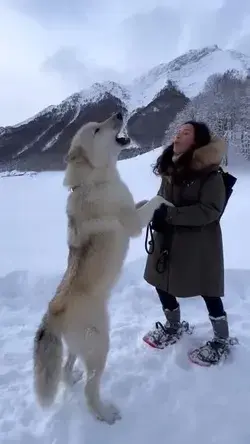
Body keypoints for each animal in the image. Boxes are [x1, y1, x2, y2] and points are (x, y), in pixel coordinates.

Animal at [32, 111, 174, 424]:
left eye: (101, 121)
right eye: (97, 129)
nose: (119, 112)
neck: (95, 181)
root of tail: (52, 313)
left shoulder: (134, 210)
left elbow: (142, 202)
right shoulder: (133, 224)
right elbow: (153, 202)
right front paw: (165, 199)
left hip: (80, 348)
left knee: (66, 370)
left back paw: (71, 378)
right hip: (100, 347)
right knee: (89, 390)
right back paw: (106, 414)